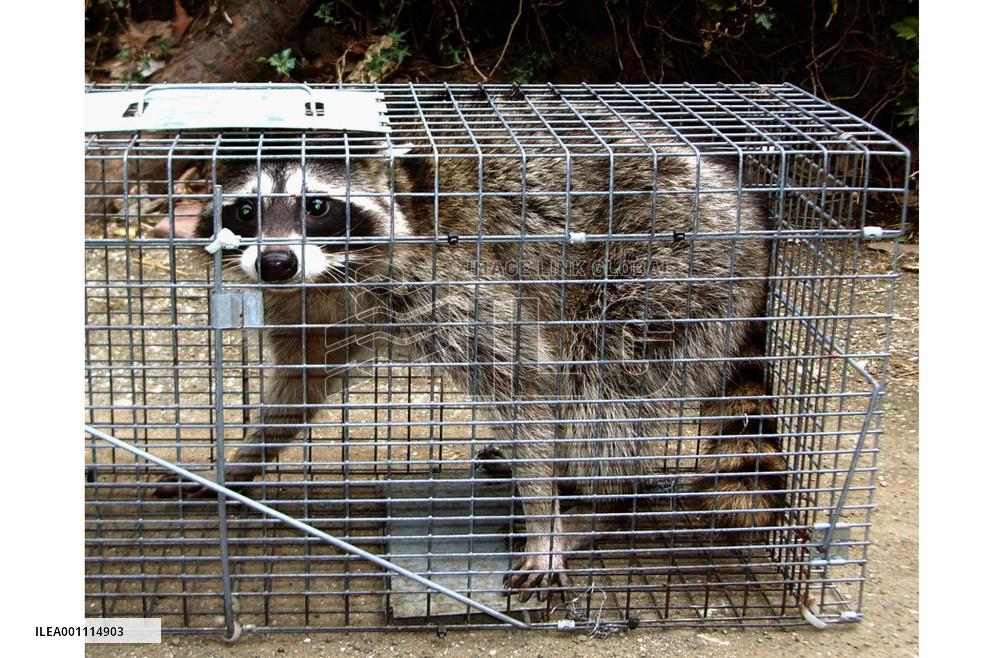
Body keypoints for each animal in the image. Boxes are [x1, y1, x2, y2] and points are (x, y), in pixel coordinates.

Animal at [154, 121, 786, 601]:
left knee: (605, 394)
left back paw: (596, 504)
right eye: (245, 211)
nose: (276, 261)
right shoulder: (302, 305)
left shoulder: (447, 277)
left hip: (666, 270)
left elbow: (527, 380)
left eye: (317, 206)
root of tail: (751, 222)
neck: (334, 277)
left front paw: (544, 521)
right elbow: (298, 388)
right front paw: (234, 467)